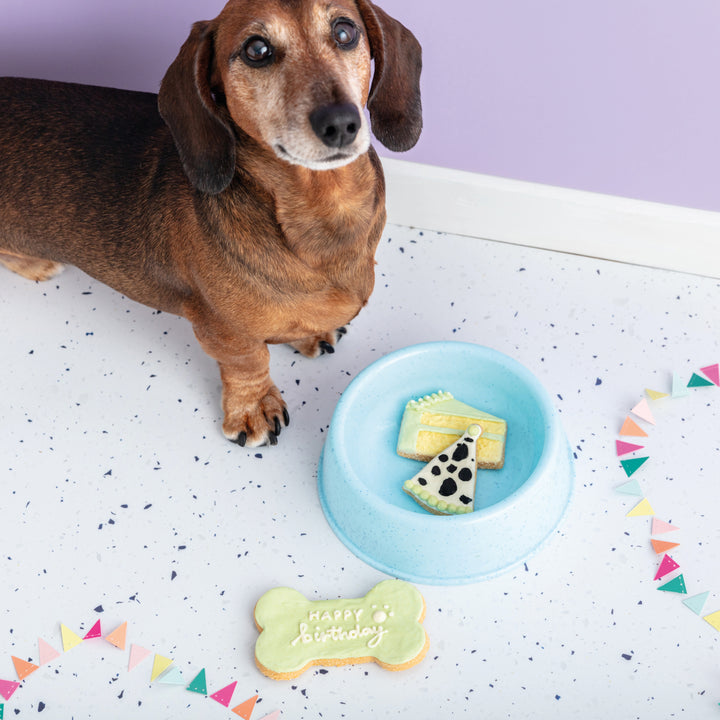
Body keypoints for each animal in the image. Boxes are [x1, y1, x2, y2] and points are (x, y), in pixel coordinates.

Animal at [0, 0, 422, 448]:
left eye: (345, 32)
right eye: (257, 50)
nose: (341, 123)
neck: (324, 212)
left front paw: (307, 332)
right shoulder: (222, 329)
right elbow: (250, 361)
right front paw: (253, 408)